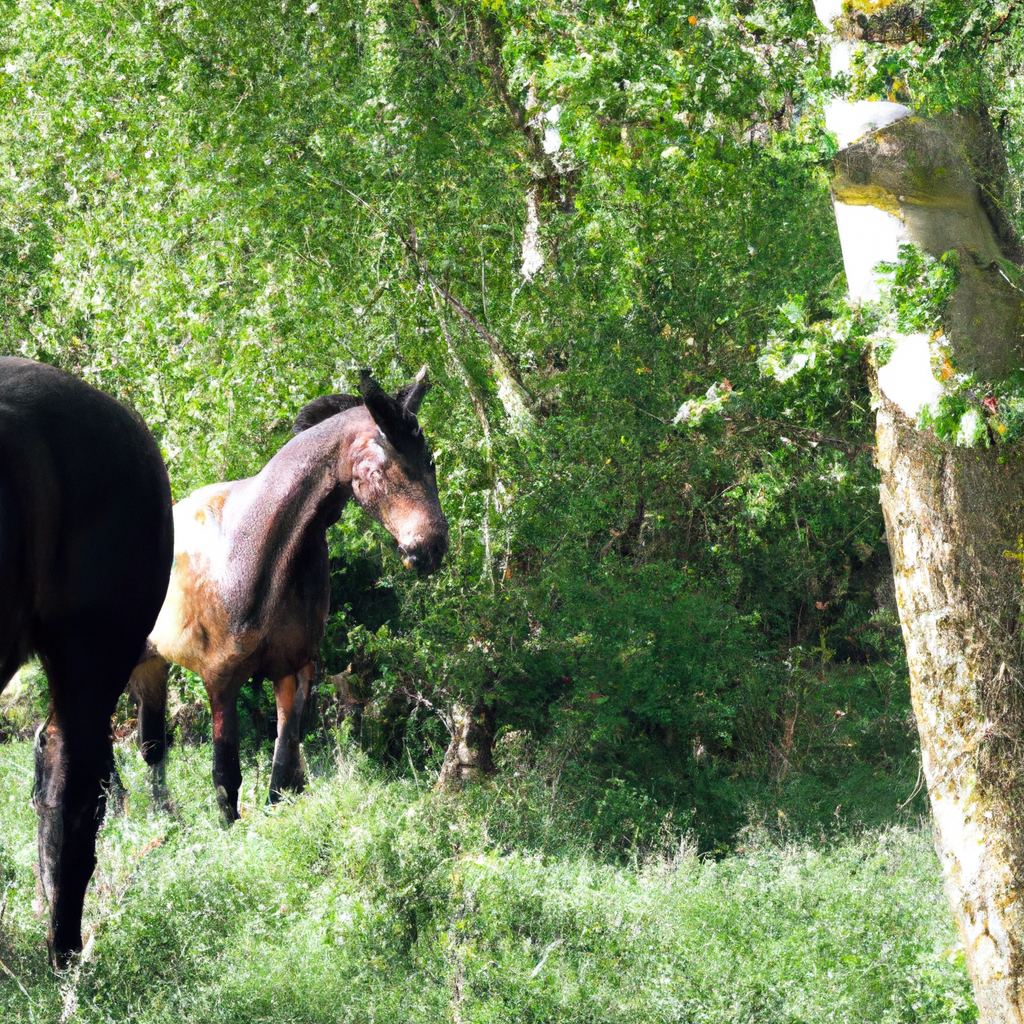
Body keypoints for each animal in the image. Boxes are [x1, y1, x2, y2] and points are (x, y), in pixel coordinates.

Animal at [128, 368, 448, 815]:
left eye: (429, 460)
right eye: (376, 472)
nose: (431, 548)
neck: (256, 549)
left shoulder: (294, 671)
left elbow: (283, 769)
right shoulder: (220, 682)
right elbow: (226, 779)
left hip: (151, 666)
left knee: (151, 746)